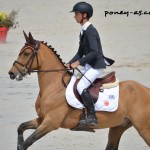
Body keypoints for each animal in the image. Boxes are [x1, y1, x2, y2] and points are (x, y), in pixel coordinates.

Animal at [8, 31, 150, 149]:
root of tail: (145, 89)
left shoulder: (51, 122)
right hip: (118, 126)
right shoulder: (42, 119)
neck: (53, 87)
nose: (11, 73)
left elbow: (28, 142)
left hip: (143, 128)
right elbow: (21, 127)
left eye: (26, 53)